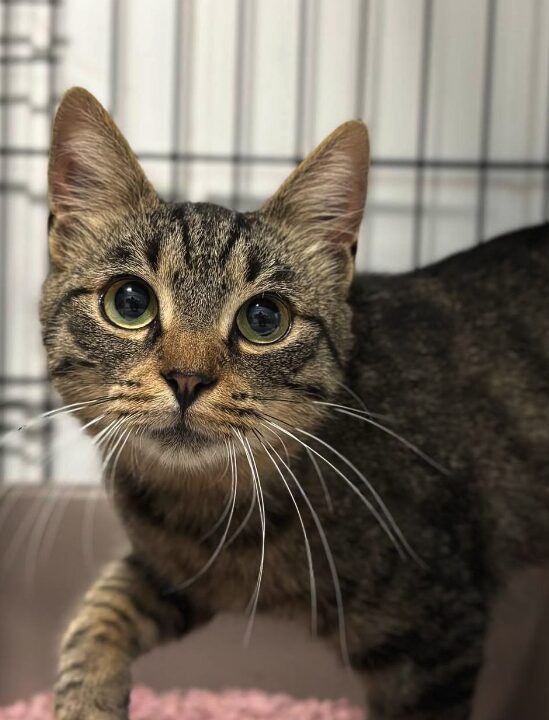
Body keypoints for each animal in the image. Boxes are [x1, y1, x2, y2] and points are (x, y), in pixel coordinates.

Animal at [39, 88, 548, 720]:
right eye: (129, 302)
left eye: (264, 318)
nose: (187, 378)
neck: (211, 513)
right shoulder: (177, 574)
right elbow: (96, 615)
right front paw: (86, 701)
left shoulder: (436, 635)